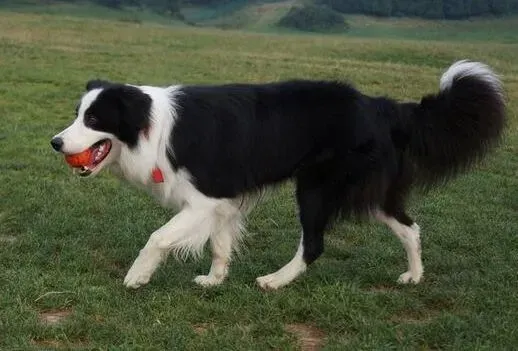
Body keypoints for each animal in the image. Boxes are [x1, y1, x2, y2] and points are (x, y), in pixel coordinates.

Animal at [51, 61, 508, 292]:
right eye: (77, 113)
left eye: (94, 119)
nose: (56, 142)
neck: (149, 125)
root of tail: (383, 106)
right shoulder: (222, 201)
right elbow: (220, 243)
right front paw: (215, 280)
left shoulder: (205, 196)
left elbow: (159, 236)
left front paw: (137, 276)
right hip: (369, 190)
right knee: (410, 226)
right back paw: (414, 275)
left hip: (318, 186)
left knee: (315, 244)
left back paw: (275, 280)